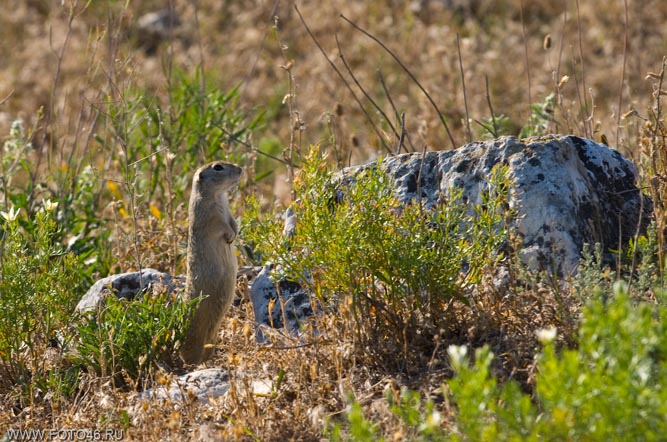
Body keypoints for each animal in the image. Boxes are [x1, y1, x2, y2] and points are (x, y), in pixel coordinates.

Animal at [181, 161, 244, 364]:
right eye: (218, 167)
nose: (240, 169)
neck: (218, 195)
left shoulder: (228, 211)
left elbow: (233, 222)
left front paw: (235, 234)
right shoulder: (210, 218)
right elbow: (221, 226)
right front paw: (230, 237)